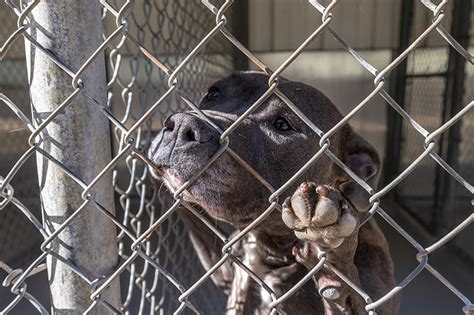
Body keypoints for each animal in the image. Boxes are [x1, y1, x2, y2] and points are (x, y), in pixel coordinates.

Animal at [148, 73, 400, 314]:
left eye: (282, 124)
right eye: (213, 93)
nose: (181, 126)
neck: (270, 245)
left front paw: (330, 253)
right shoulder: (225, 271)